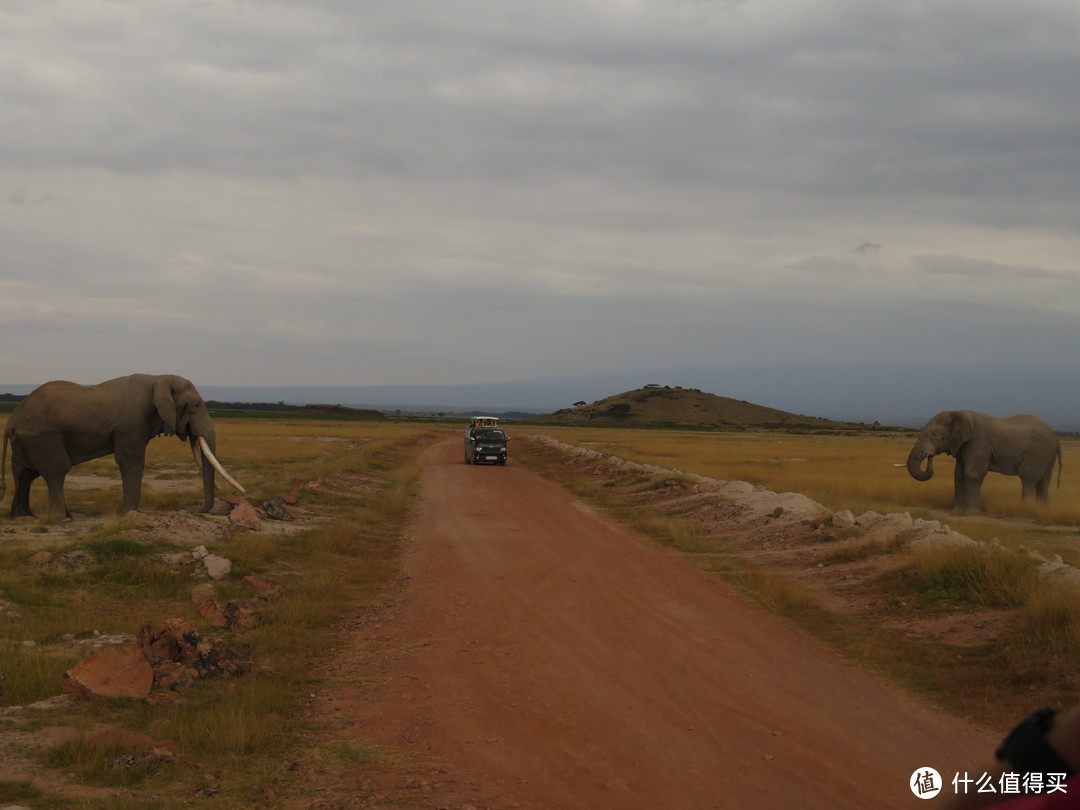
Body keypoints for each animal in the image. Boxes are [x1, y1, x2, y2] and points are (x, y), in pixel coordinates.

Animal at [0, 373, 244, 520]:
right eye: (195, 405)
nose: (196, 510)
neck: (159, 378)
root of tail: (12, 420)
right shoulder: (132, 423)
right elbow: (131, 461)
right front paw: (131, 514)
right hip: (43, 437)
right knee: (56, 471)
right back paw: (62, 519)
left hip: (25, 440)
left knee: (24, 474)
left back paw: (23, 517)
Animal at [902, 412, 1062, 514]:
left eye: (934, 435)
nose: (930, 456)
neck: (958, 413)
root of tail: (1055, 437)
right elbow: (958, 474)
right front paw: (957, 512)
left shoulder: (978, 442)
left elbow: (972, 474)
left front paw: (971, 513)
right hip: (1047, 456)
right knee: (1043, 482)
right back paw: (1042, 510)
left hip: (1038, 453)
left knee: (1028, 479)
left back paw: (1025, 510)